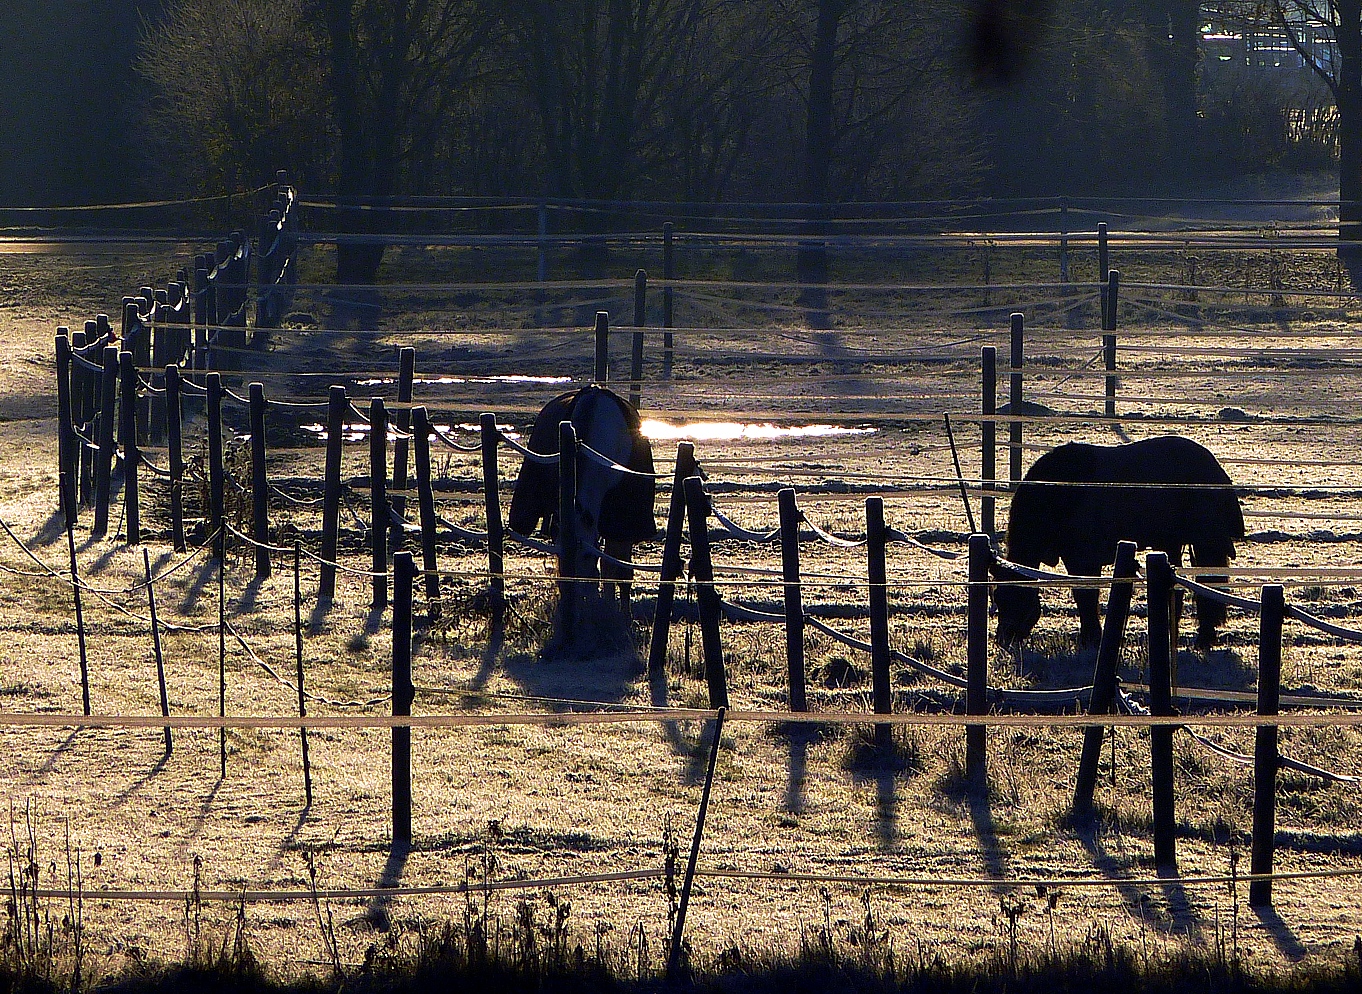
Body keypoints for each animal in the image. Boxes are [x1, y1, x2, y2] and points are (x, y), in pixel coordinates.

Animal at [991, 435, 1247, 650]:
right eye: (997, 598)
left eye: (1015, 597)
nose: (1003, 639)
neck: (1058, 496)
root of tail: (1215, 468)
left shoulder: (1083, 558)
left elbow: (1086, 596)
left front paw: (1091, 638)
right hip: (1169, 543)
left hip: (1206, 540)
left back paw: (1204, 637)